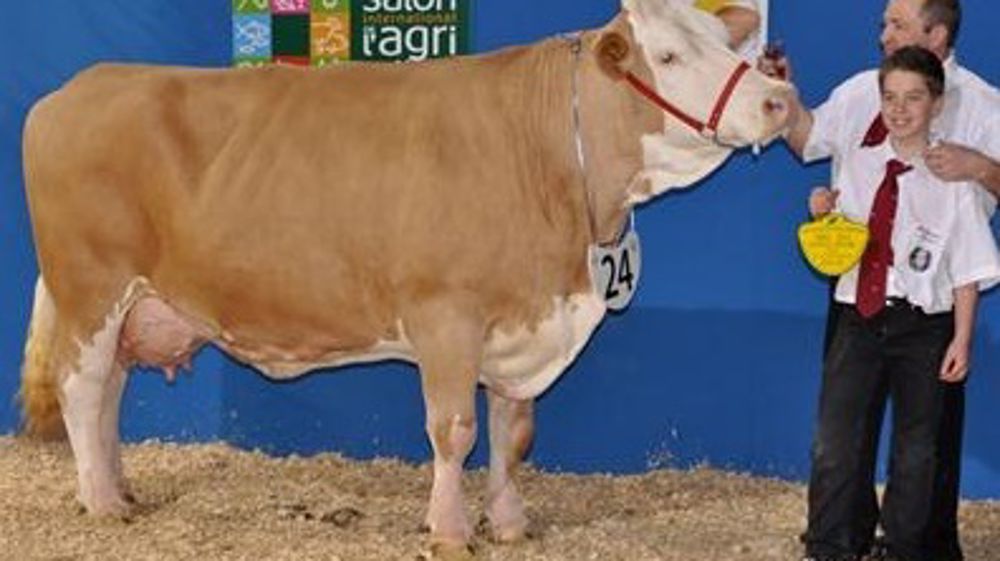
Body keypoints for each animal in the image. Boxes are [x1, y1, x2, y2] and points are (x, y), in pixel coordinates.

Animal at [18, 0, 791, 556]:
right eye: (668, 55)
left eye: (728, 47)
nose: (778, 100)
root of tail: (80, 85)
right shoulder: (444, 313)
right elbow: (454, 429)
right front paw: (449, 529)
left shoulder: (524, 321)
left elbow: (514, 430)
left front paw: (510, 521)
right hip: (91, 288)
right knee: (83, 389)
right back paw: (102, 504)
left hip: (131, 304)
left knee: (111, 396)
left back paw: (119, 487)